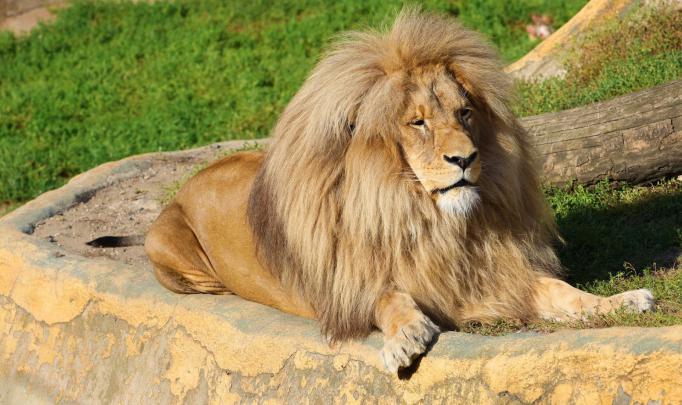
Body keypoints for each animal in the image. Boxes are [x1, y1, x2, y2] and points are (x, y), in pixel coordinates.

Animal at [143, 10, 654, 372]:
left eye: (465, 112)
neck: (427, 218)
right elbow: (388, 298)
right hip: (164, 243)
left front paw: (622, 301)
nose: (465, 158)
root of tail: (189, 182)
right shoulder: (348, 287)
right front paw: (406, 338)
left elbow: (563, 292)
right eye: (418, 123)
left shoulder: (498, 273)